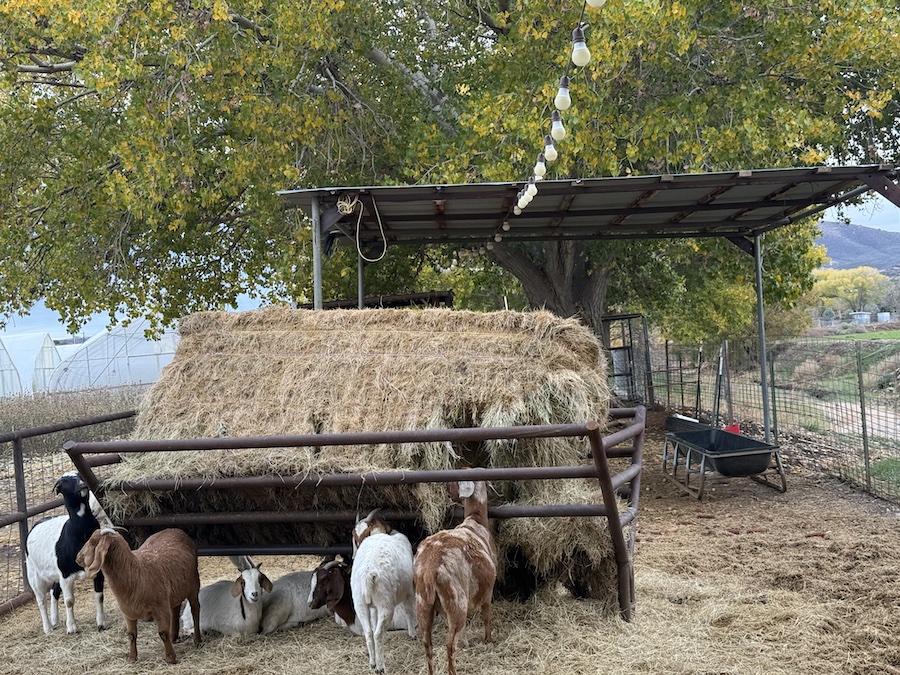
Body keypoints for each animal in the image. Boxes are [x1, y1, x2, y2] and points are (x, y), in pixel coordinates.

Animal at [25, 471, 105, 634]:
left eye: (80, 475)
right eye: (65, 483)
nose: (82, 485)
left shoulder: (97, 571)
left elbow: (99, 596)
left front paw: (101, 624)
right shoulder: (66, 575)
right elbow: (69, 601)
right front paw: (72, 628)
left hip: (56, 573)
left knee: (53, 592)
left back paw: (55, 620)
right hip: (33, 575)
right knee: (40, 600)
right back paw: (48, 628)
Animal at [76, 528, 201, 664]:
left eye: (93, 543)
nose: (78, 558)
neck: (136, 572)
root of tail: (176, 530)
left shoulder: (161, 608)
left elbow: (163, 633)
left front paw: (170, 658)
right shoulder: (128, 612)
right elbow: (131, 635)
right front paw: (132, 658)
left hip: (194, 586)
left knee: (195, 609)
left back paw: (197, 640)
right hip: (175, 591)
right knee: (175, 608)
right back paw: (174, 637)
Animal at [350, 510, 417, 673]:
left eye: (360, 535)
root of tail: (367, 575)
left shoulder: (372, 607)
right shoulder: (409, 590)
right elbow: (409, 611)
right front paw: (413, 633)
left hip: (360, 604)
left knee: (369, 633)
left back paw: (372, 663)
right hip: (386, 604)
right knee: (378, 634)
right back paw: (380, 667)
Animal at [413, 480, 497, 675]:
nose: (448, 494)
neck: (475, 520)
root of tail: (430, 570)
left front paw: (466, 643)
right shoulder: (488, 590)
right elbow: (486, 616)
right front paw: (488, 640)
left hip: (422, 603)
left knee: (427, 644)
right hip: (455, 599)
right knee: (449, 644)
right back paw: (453, 670)